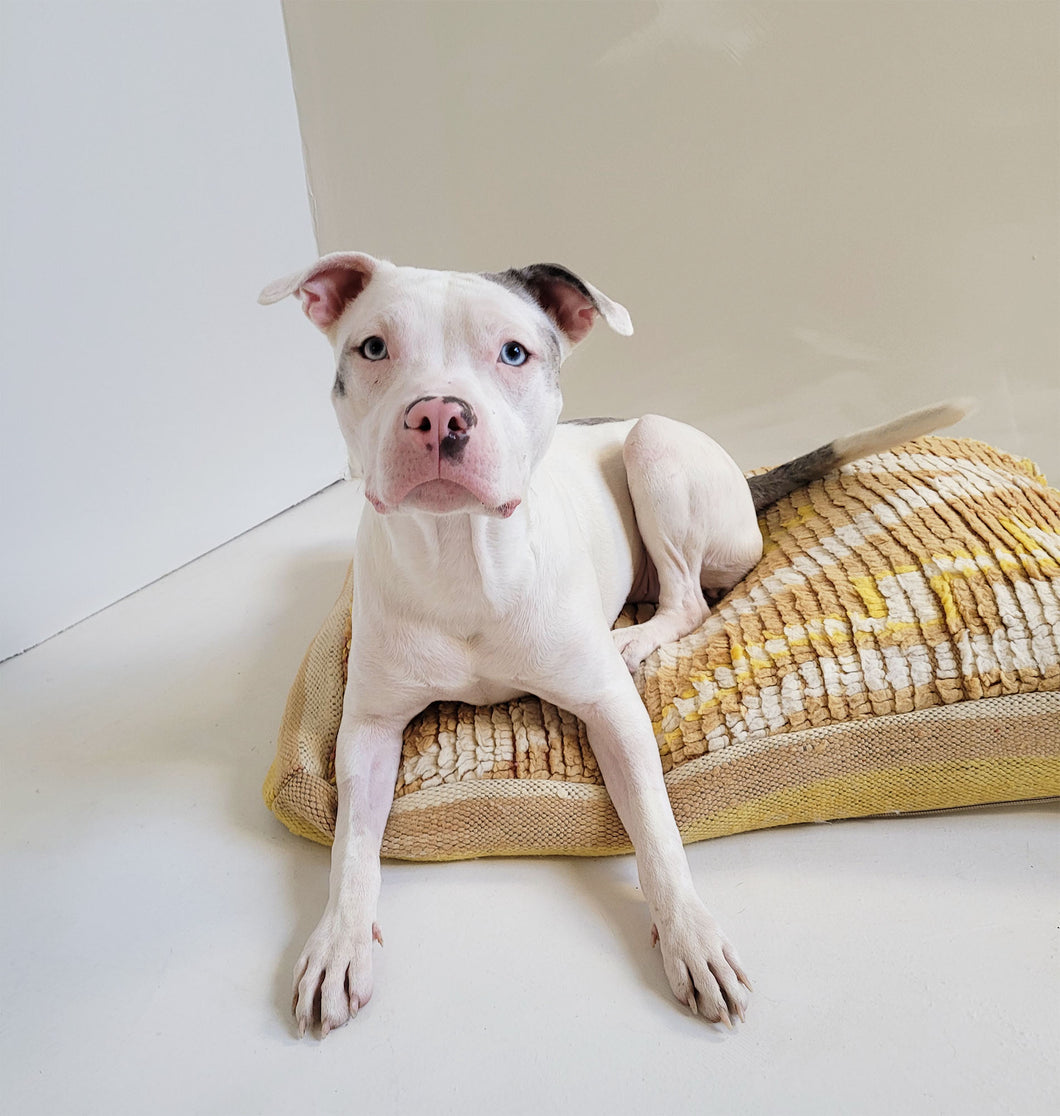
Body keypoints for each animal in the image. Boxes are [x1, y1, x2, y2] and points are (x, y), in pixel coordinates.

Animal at [258, 253, 972, 1035]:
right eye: (374, 348)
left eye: (514, 352)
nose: (438, 413)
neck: (462, 557)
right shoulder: (368, 730)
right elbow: (352, 846)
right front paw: (338, 942)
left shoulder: (613, 711)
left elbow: (657, 830)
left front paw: (691, 935)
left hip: (653, 446)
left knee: (688, 598)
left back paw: (636, 636)